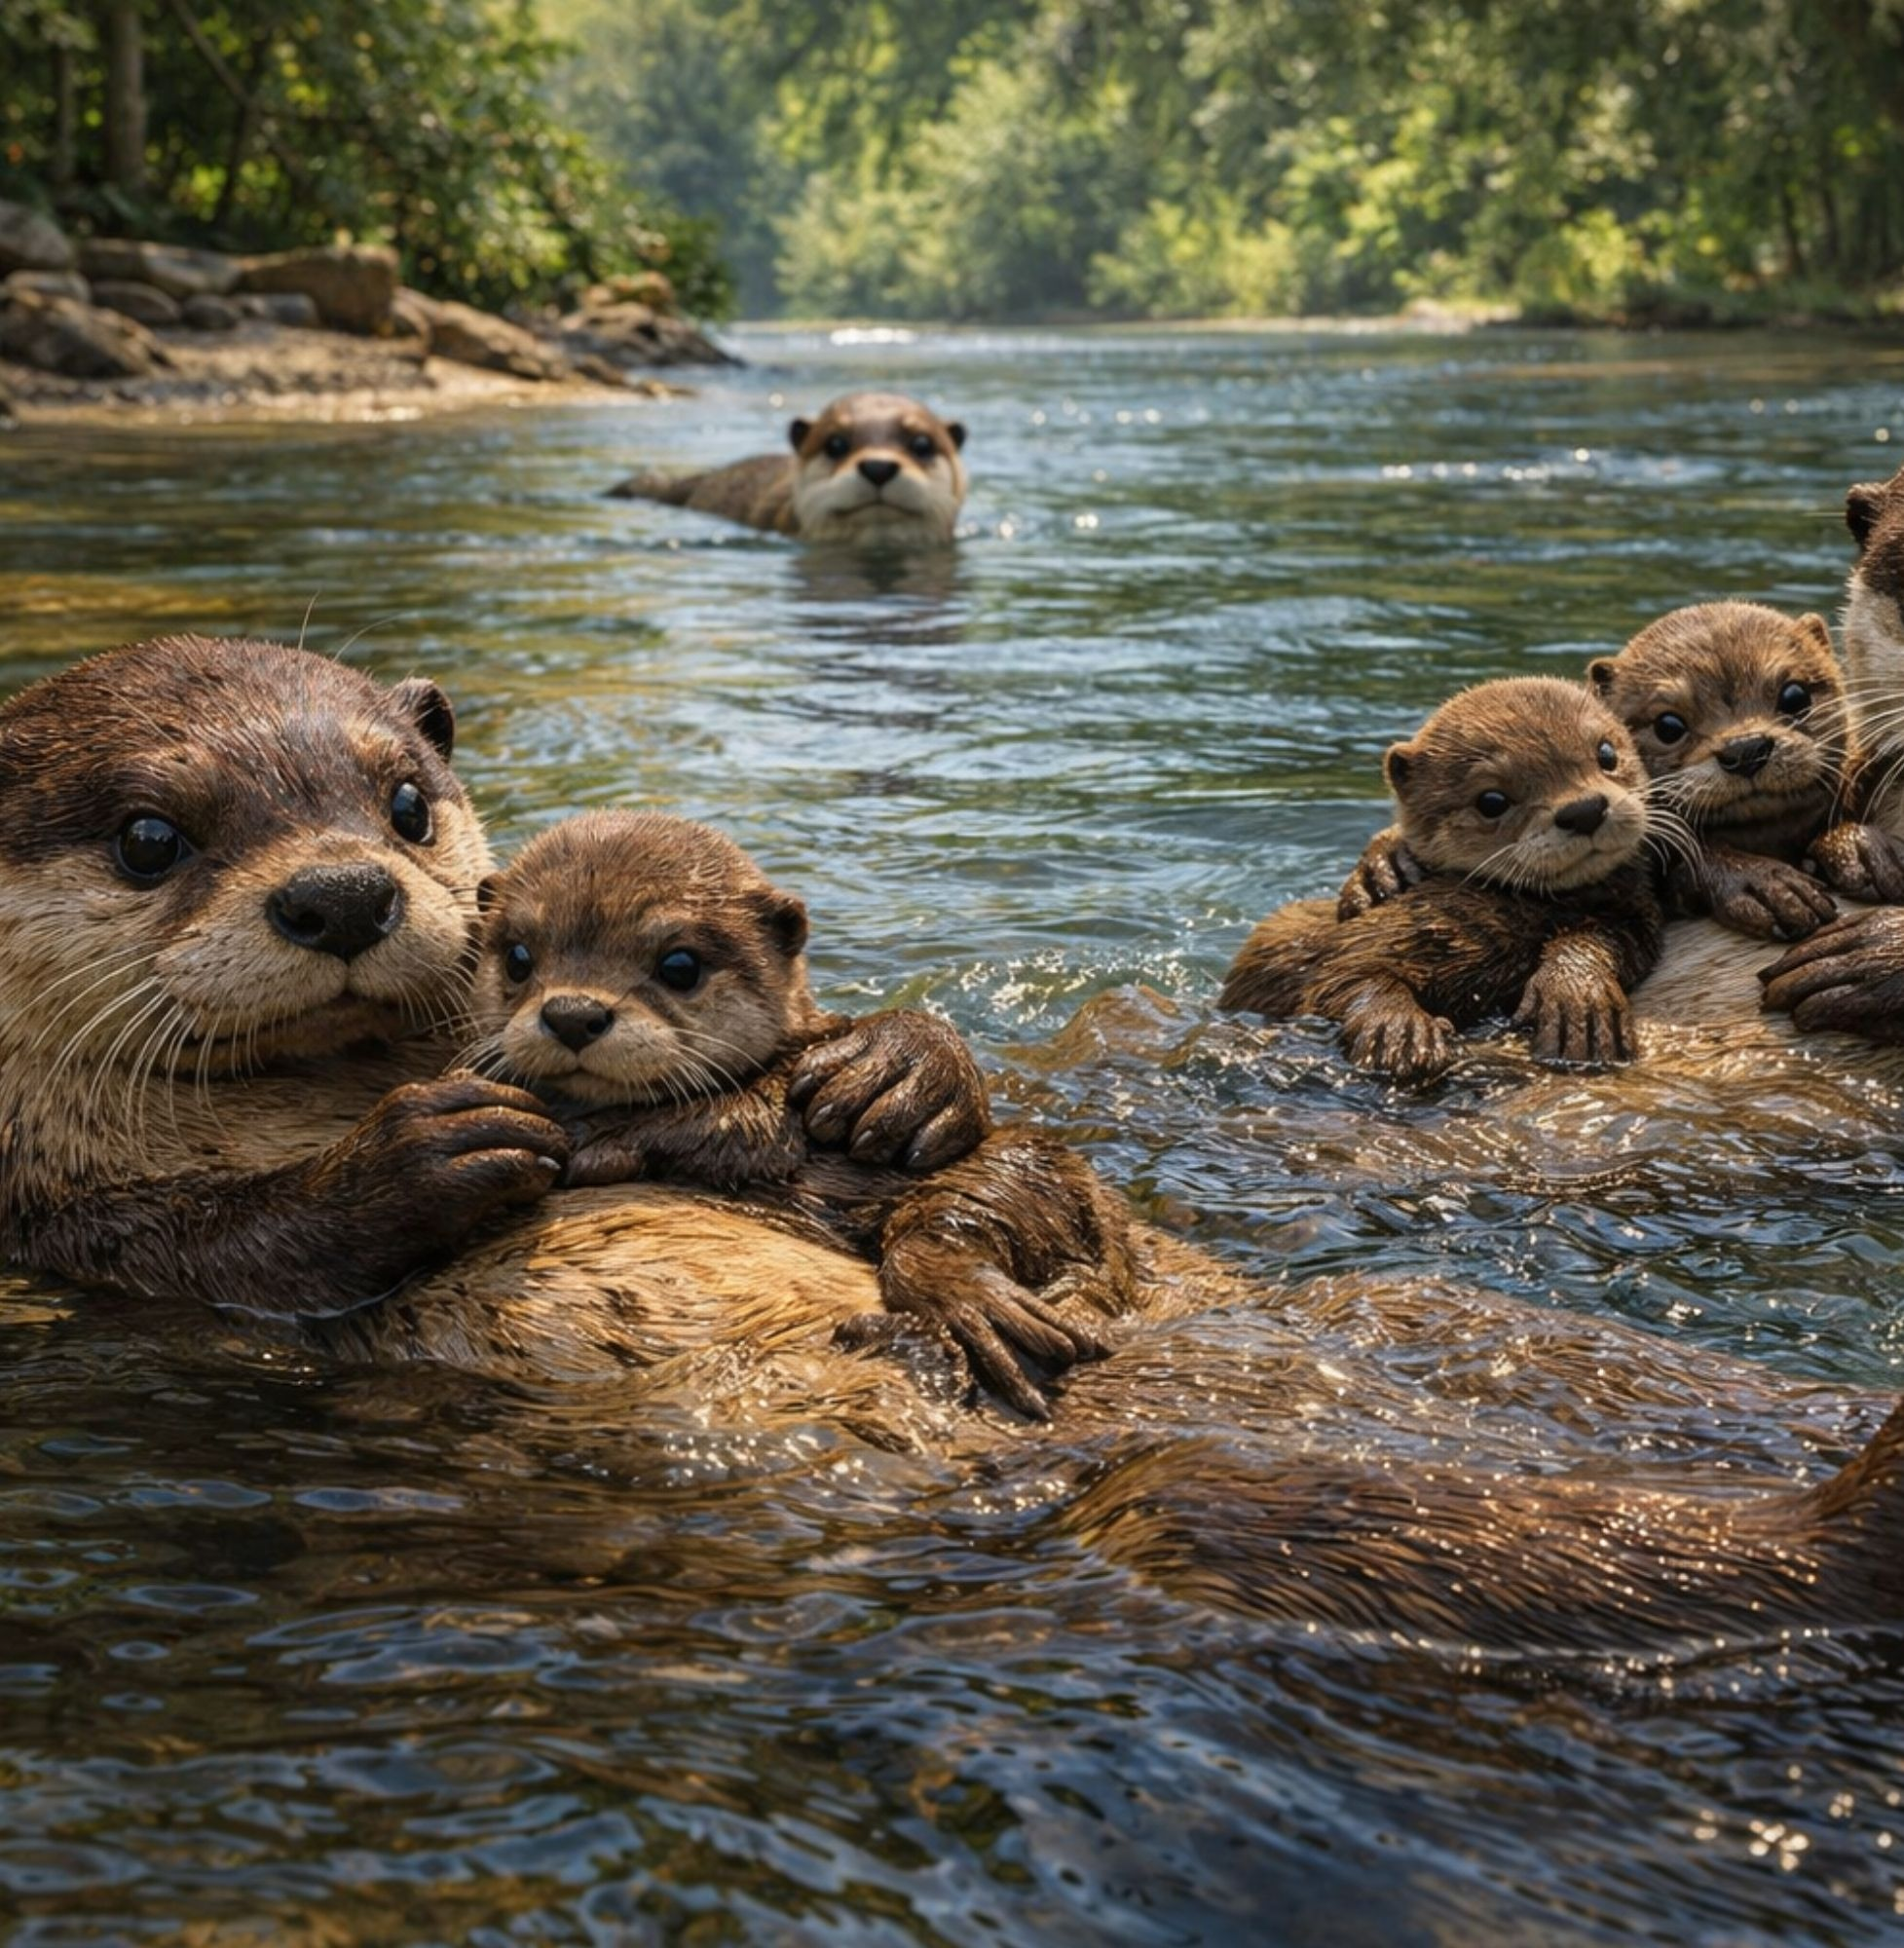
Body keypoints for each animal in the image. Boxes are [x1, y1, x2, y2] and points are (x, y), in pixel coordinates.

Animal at [0, 636, 991, 1318]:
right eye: (148, 839)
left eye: (406, 803)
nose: (343, 894)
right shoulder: (63, 1223)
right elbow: (215, 1245)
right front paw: (427, 1150)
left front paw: (899, 1063)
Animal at [1221, 678, 1661, 1083]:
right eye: (1492, 801)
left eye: (1606, 752)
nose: (1584, 810)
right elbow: (1343, 974)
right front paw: (1397, 1032)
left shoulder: (1633, 914)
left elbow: (1604, 940)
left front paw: (1577, 998)